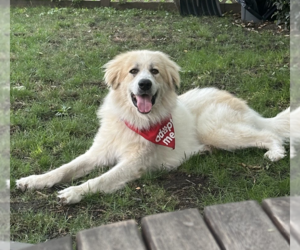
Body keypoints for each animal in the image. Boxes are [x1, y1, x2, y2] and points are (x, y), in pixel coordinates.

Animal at [15, 50, 290, 203]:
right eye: (133, 71)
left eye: (154, 71)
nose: (144, 84)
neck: (137, 121)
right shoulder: (97, 153)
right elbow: (64, 169)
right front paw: (34, 180)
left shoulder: (134, 163)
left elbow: (101, 179)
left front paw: (74, 192)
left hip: (218, 131)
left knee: (268, 134)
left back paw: (276, 152)